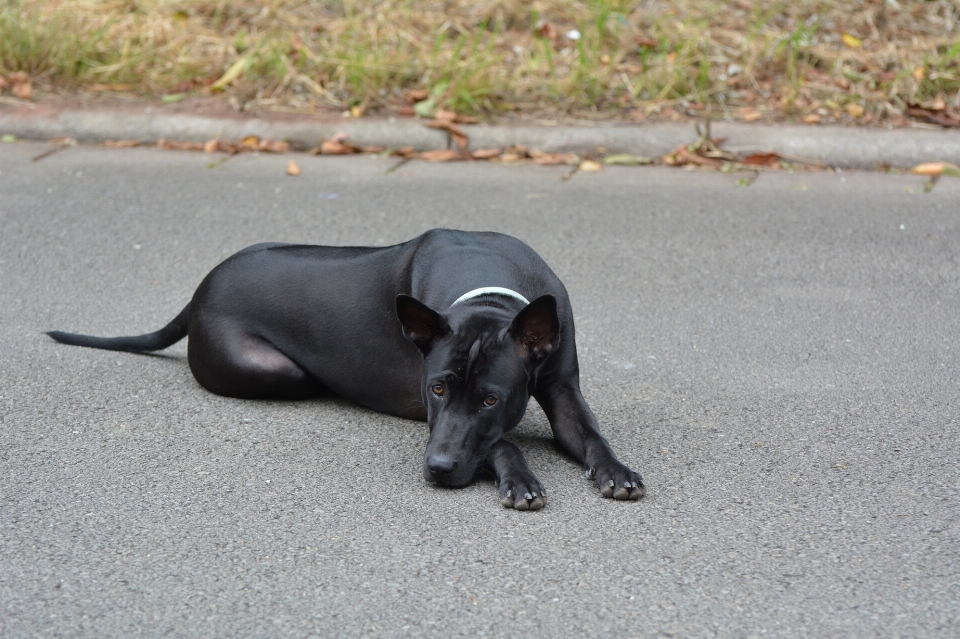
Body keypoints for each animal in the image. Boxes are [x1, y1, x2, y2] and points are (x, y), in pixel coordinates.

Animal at [47, 230, 644, 510]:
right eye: (436, 389)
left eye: (492, 399)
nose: (438, 468)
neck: (490, 296)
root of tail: (198, 291)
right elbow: (500, 441)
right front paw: (518, 477)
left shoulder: (562, 389)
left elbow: (590, 433)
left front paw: (615, 470)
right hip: (277, 371)